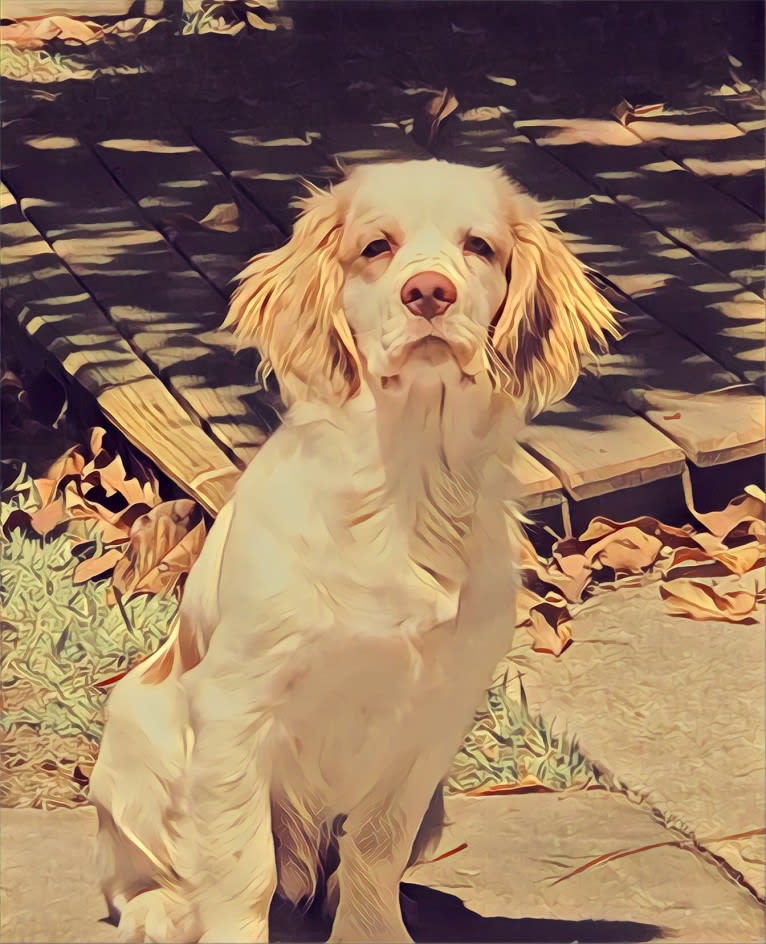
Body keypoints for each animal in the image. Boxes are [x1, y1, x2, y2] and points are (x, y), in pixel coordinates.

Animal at [88, 159, 616, 940]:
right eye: (376, 247)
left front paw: (374, 928)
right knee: (141, 872)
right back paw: (159, 909)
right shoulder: (235, 707)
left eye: (480, 248)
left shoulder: (433, 722)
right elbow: (241, 866)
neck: (405, 481)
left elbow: (375, 846)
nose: (429, 292)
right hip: (136, 721)